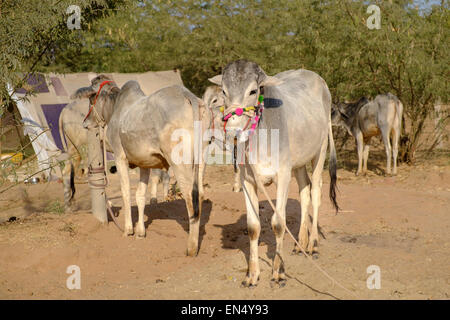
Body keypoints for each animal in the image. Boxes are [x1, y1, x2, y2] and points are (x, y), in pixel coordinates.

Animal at [72, 75, 207, 258]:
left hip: (180, 162)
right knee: (199, 194)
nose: (85, 122)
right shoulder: (145, 164)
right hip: (201, 160)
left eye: (92, 99)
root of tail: (187, 95)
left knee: (189, 195)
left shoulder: (120, 157)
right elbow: (140, 195)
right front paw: (140, 232)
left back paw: (191, 247)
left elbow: (126, 192)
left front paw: (128, 229)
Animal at [209, 60, 340, 288]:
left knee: (315, 193)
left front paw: (279, 272)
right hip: (299, 163)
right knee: (304, 193)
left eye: (253, 91)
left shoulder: (283, 177)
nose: (233, 130)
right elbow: (253, 227)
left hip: (320, 151)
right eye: (224, 91)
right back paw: (300, 242)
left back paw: (313, 244)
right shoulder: (247, 181)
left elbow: (279, 224)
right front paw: (251, 275)